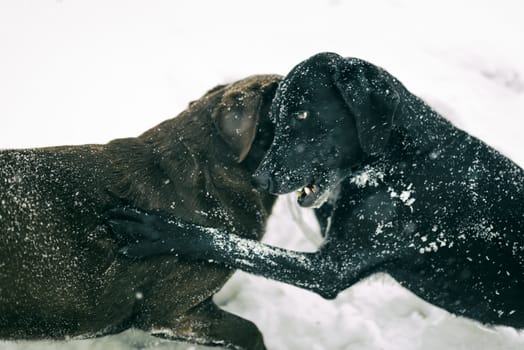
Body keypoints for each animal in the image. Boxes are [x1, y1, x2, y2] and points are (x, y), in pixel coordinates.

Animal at [110, 52, 524, 328]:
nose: (260, 180)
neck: (399, 157)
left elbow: (227, 242)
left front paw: (158, 231)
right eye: (273, 120)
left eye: (304, 114)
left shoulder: (329, 270)